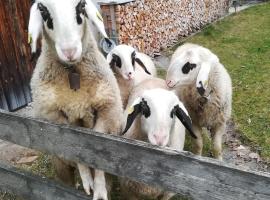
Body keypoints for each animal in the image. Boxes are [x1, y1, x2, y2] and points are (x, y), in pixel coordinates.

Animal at [27, 0, 123, 199]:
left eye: (81, 5)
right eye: (43, 9)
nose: (69, 51)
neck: (72, 71)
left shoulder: (107, 110)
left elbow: (98, 153)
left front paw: (99, 189)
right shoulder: (55, 118)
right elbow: (75, 149)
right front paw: (87, 180)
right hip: (60, 163)